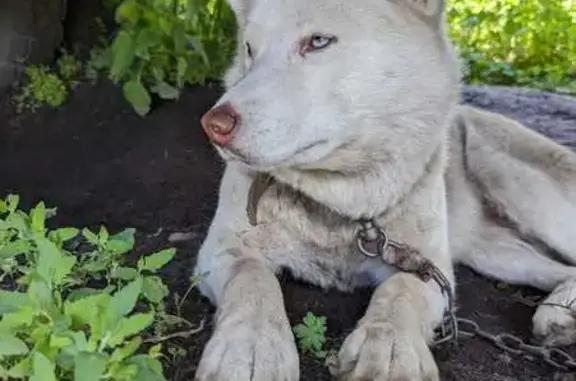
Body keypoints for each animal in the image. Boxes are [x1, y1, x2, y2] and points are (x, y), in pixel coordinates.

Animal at [191, 0, 576, 378]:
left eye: (318, 41)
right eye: (249, 49)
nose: (213, 125)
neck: (343, 203)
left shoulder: (431, 268)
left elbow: (399, 290)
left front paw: (389, 350)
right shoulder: (222, 250)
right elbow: (252, 278)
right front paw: (249, 350)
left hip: (513, 183)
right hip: (489, 252)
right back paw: (559, 312)